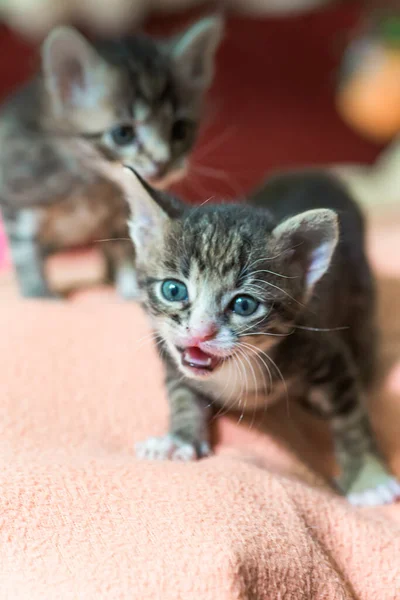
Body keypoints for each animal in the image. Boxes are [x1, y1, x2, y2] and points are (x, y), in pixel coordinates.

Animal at [0, 17, 222, 298]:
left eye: (180, 130)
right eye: (123, 134)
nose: (162, 163)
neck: (92, 182)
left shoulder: (121, 214)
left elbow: (126, 249)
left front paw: (129, 290)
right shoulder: (18, 200)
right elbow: (25, 251)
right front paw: (38, 294)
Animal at [107, 163, 400, 506]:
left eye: (244, 304)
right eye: (173, 290)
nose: (201, 332)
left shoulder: (326, 352)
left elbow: (351, 420)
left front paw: (368, 479)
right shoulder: (170, 356)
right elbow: (181, 393)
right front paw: (180, 438)